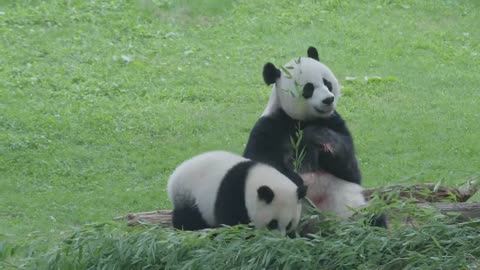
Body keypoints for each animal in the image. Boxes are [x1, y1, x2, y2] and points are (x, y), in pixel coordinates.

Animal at [167, 150, 306, 234]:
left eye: (289, 224)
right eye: (272, 223)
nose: (279, 238)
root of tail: (174, 176)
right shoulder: (233, 194)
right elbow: (231, 222)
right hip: (188, 194)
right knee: (187, 218)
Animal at [244, 46, 386, 226]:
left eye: (327, 82)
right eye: (308, 88)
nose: (328, 99)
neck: (302, 120)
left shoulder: (334, 122)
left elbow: (351, 170)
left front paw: (315, 137)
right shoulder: (268, 128)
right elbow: (262, 165)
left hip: (348, 206)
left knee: (370, 218)